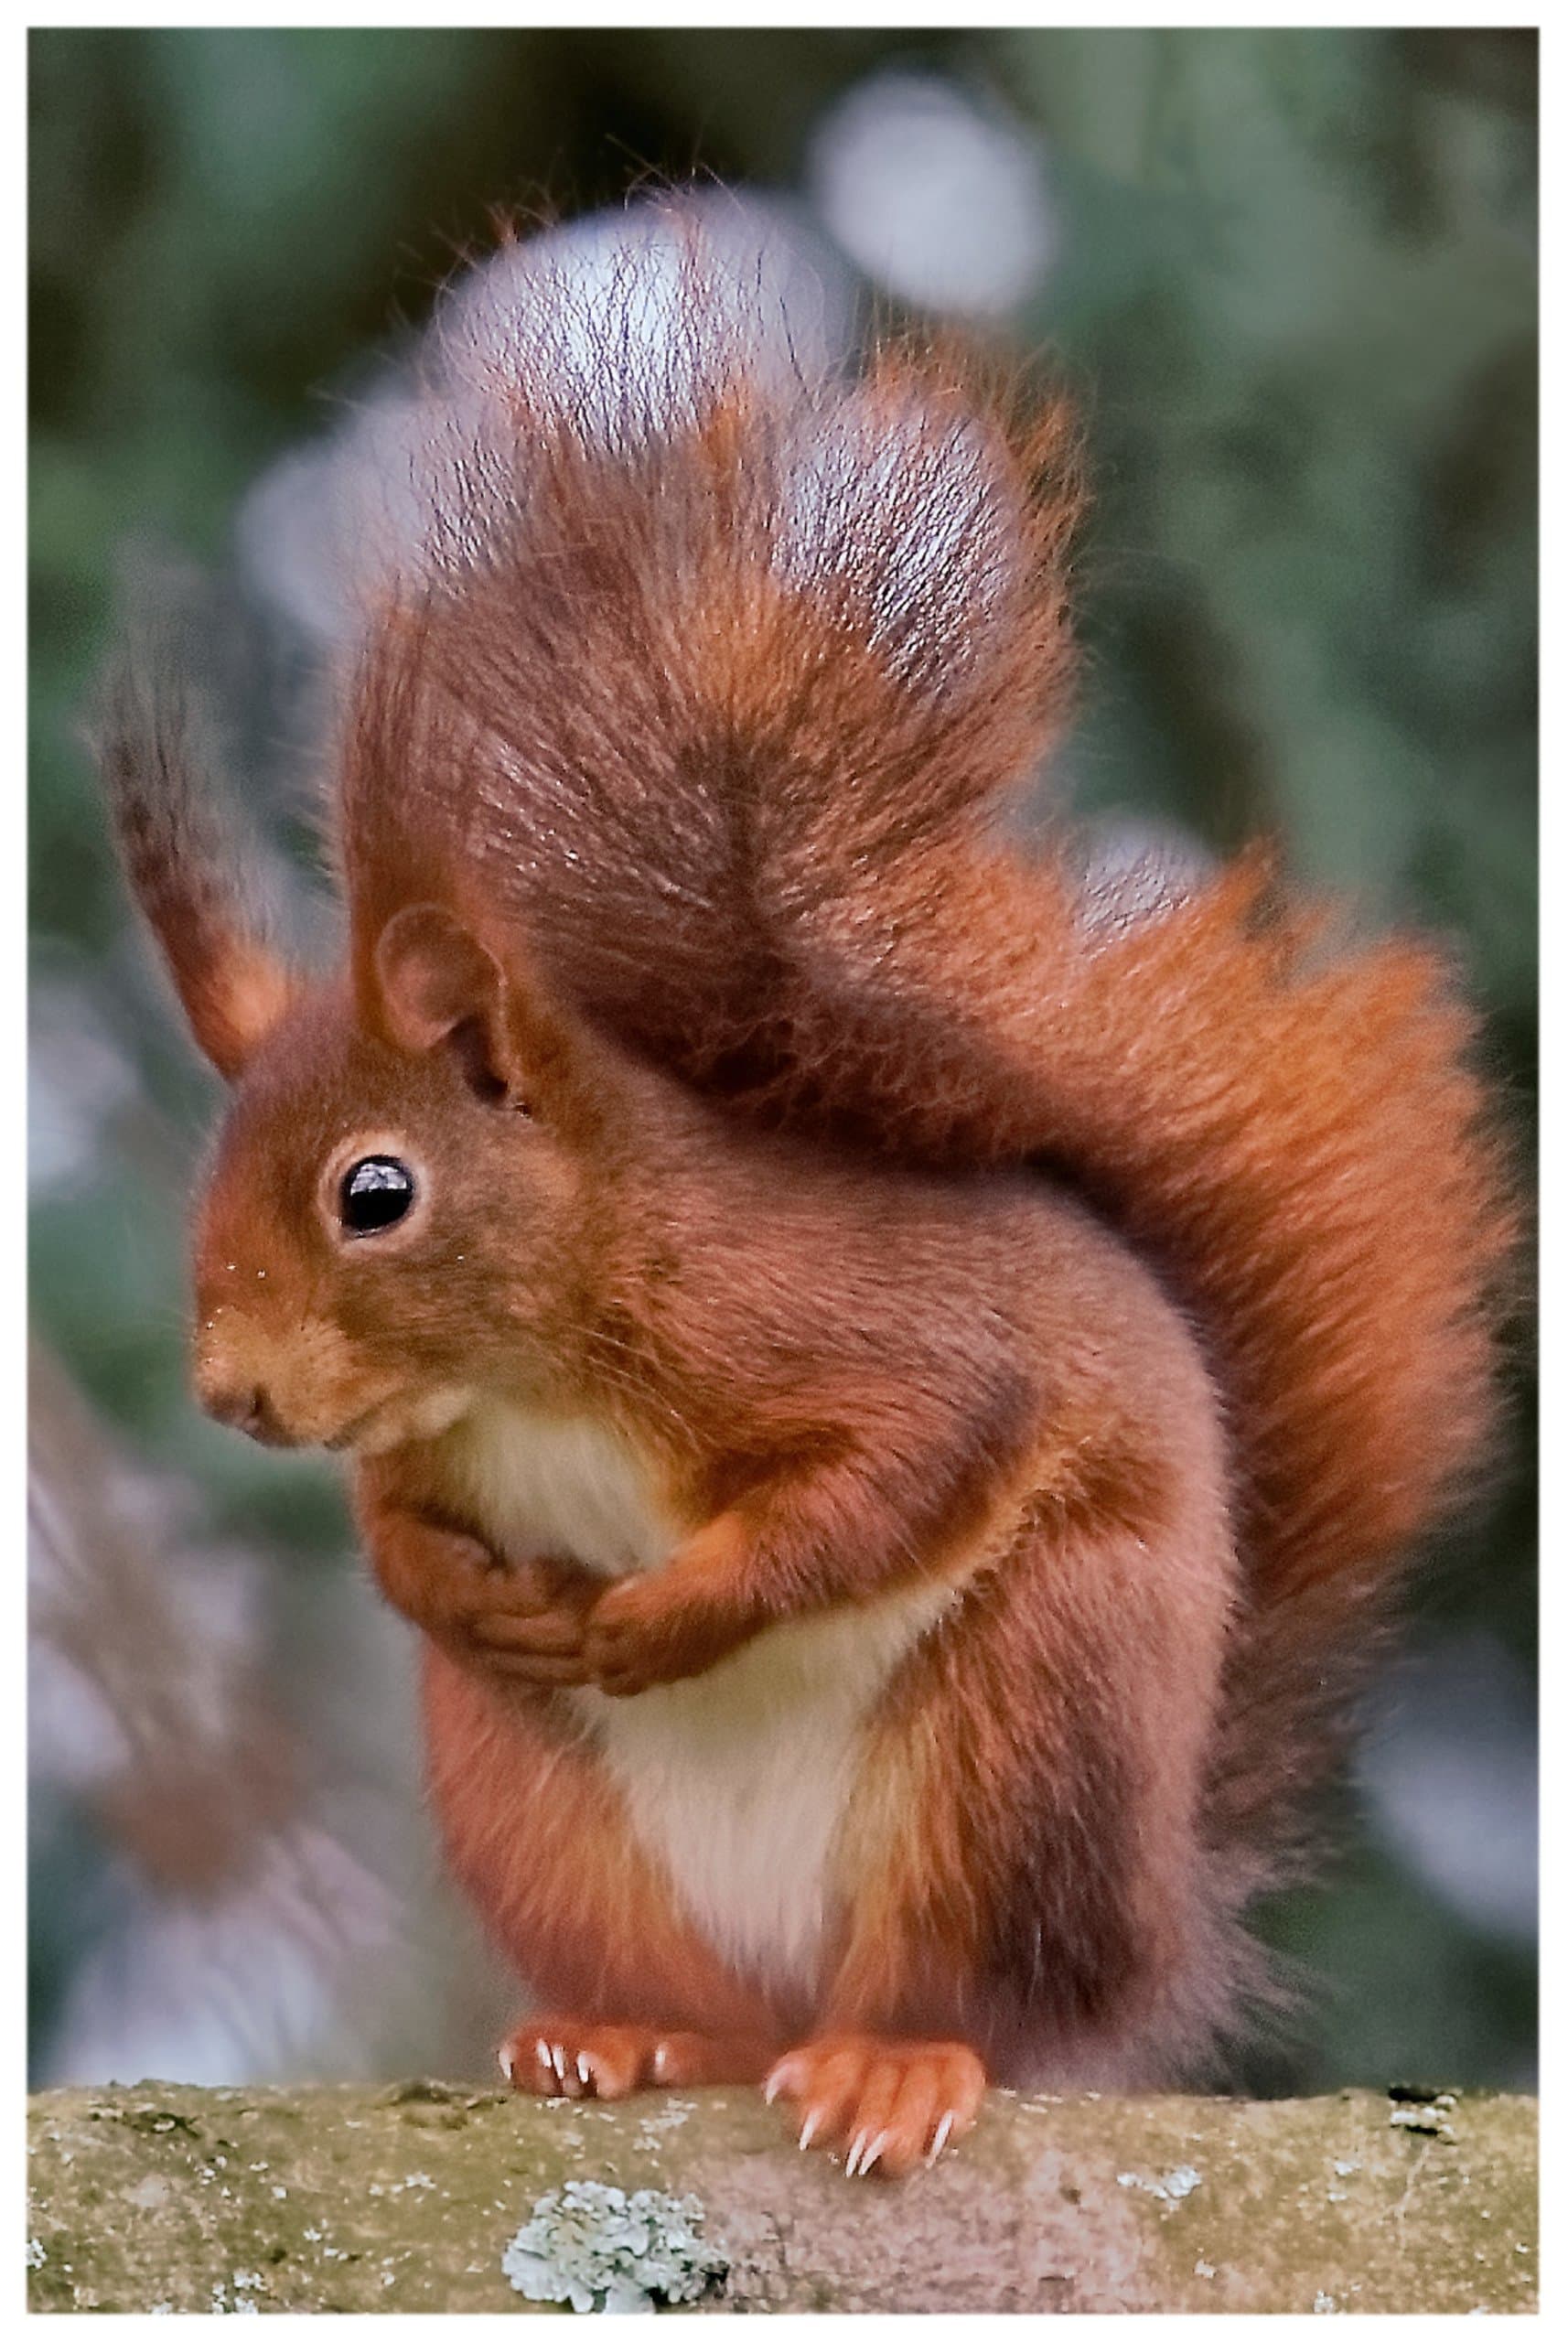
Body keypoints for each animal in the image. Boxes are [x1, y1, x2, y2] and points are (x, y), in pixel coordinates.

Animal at [101, 205, 1513, 2178]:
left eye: (374, 1193)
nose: (231, 1393)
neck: (537, 1365)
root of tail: (1146, 1937)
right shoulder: (435, 1447)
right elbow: (396, 1526)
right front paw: (459, 1586)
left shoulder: (843, 1329)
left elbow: (888, 1472)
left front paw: (661, 1612)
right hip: (540, 1807)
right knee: (694, 1996)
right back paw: (620, 2033)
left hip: (1028, 1730)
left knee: (958, 1992)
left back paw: (890, 2062)